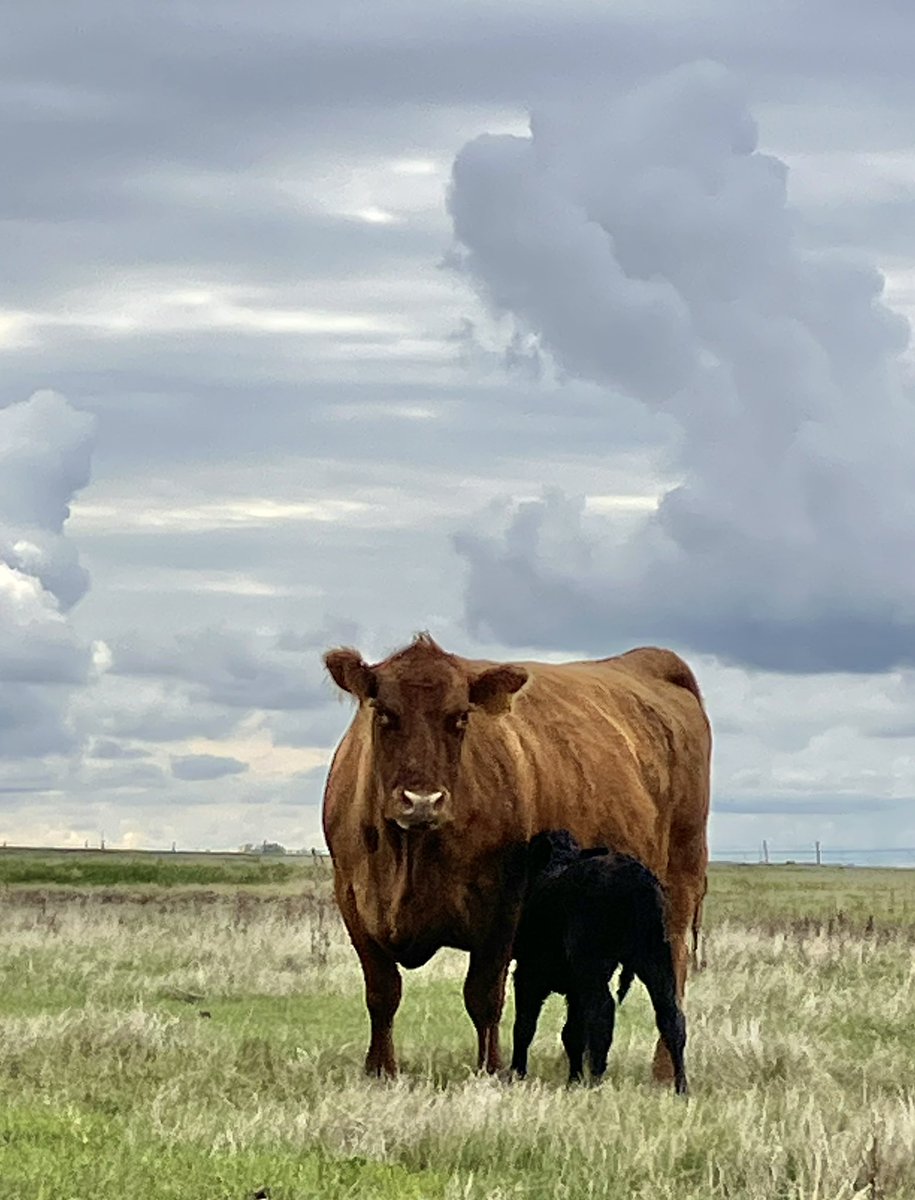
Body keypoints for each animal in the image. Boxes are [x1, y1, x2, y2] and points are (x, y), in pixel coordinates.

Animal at [506, 830, 682, 1094]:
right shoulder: (574, 987)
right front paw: (573, 1079)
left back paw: (596, 1081)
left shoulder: (529, 974)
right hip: (655, 957)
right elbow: (572, 1034)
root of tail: (637, 878)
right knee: (671, 1015)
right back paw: (682, 1087)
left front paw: (516, 1074)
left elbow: (525, 1026)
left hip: (592, 964)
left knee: (602, 1013)